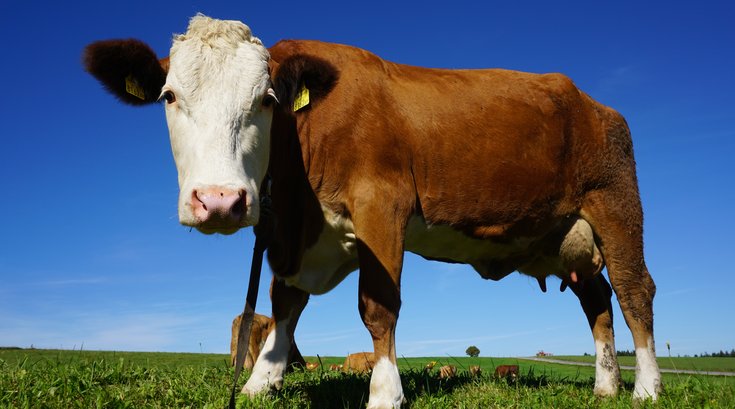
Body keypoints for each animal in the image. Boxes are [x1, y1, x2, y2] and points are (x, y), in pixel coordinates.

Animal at [83, 14, 661, 408]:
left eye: (267, 99)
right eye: (168, 96)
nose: (220, 201)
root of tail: (594, 103)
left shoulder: (381, 204)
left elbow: (377, 306)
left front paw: (385, 392)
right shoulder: (297, 235)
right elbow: (284, 303)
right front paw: (260, 381)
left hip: (614, 204)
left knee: (634, 292)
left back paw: (646, 388)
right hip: (564, 235)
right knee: (597, 300)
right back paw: (606, 387)